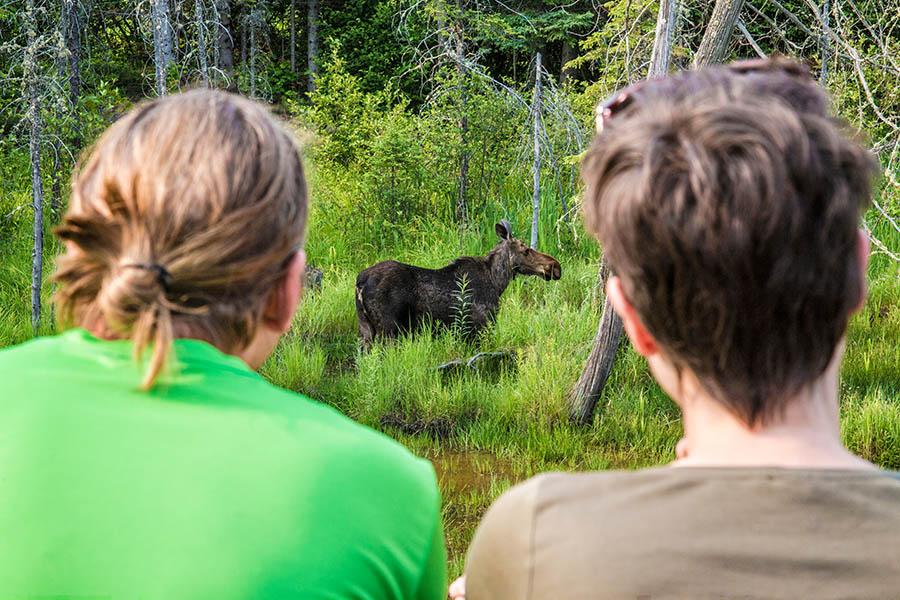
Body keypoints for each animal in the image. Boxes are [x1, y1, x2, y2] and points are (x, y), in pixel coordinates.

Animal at [355, 220, 562, 347]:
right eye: (525, 250)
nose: (555, 266)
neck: (497, 282)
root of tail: (360, 282)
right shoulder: (481, 323)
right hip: (388, 329)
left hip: (366, 330)